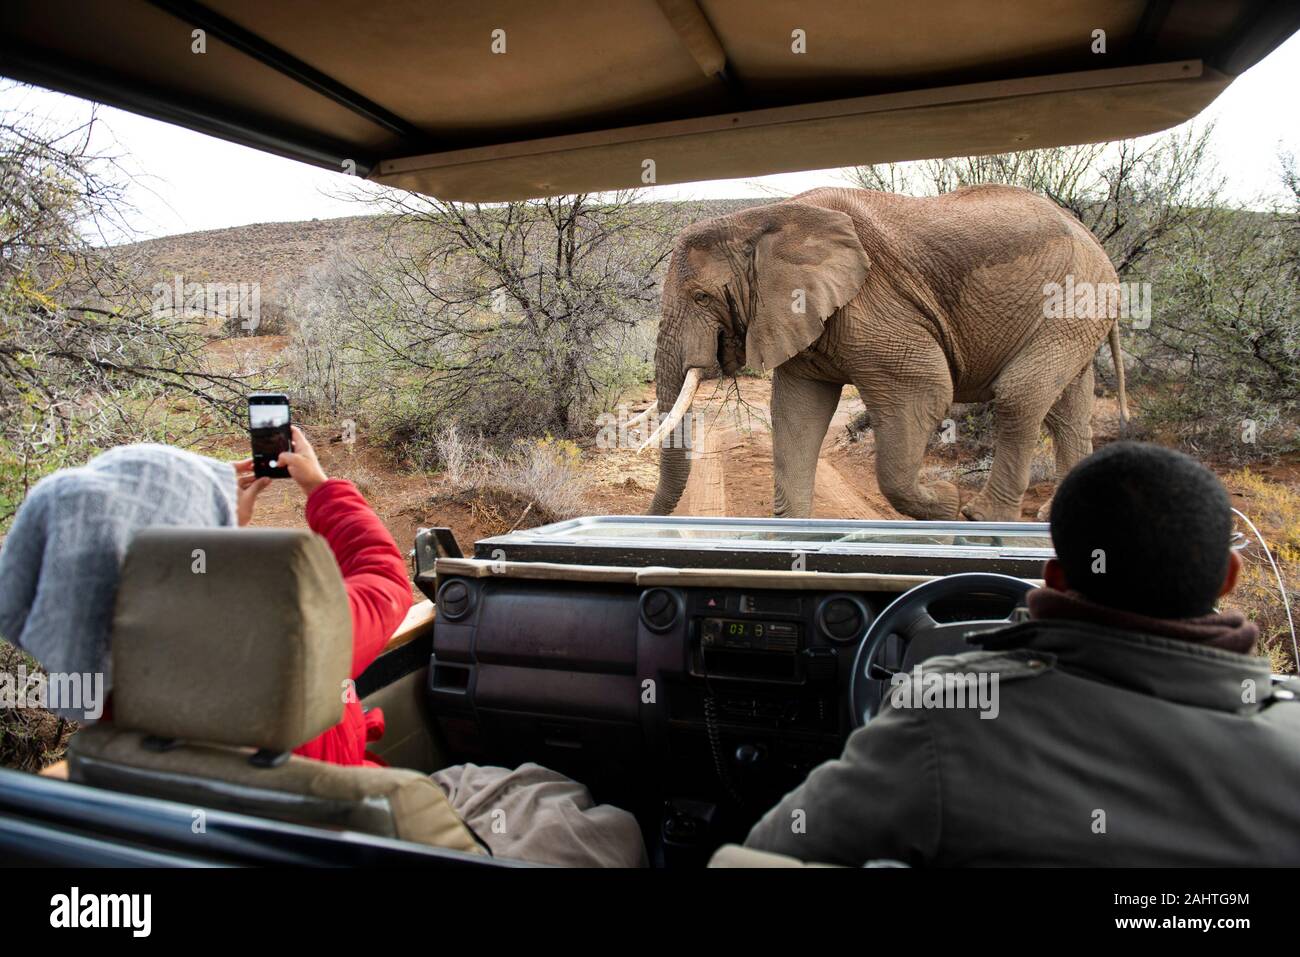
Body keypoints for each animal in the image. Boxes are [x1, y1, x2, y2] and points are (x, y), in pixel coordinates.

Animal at [644, 185, 1128, 523]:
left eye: (702, 297)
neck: (760, 219)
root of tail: (1093, 239)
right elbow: (797, 413)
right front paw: (791, 533)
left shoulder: (874, 302)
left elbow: (924, 390)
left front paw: (947, 503)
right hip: (1079, 309)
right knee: (1067, 411)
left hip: (1073, 299)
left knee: (1019, 396)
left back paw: (981, 517)